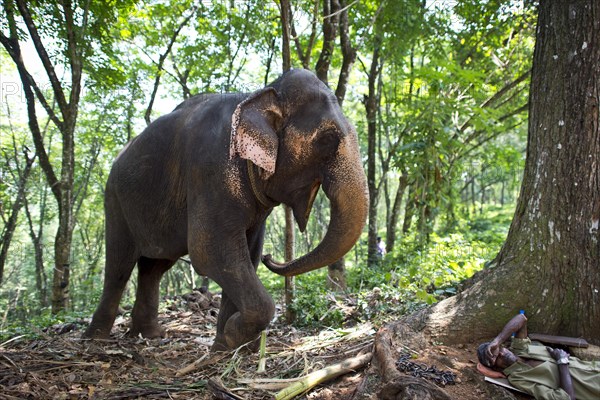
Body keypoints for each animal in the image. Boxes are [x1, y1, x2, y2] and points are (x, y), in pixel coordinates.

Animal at [82, 69, 368, 350]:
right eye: (327, 139)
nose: (272, 257)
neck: (259, 95)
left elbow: (247, 254)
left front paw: (227, 346)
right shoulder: (211, 168)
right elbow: (209, 250)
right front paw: (233, 336)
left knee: (154, 268)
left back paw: (150, 335)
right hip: (115, 200)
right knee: (119, 266)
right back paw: (96, 338)